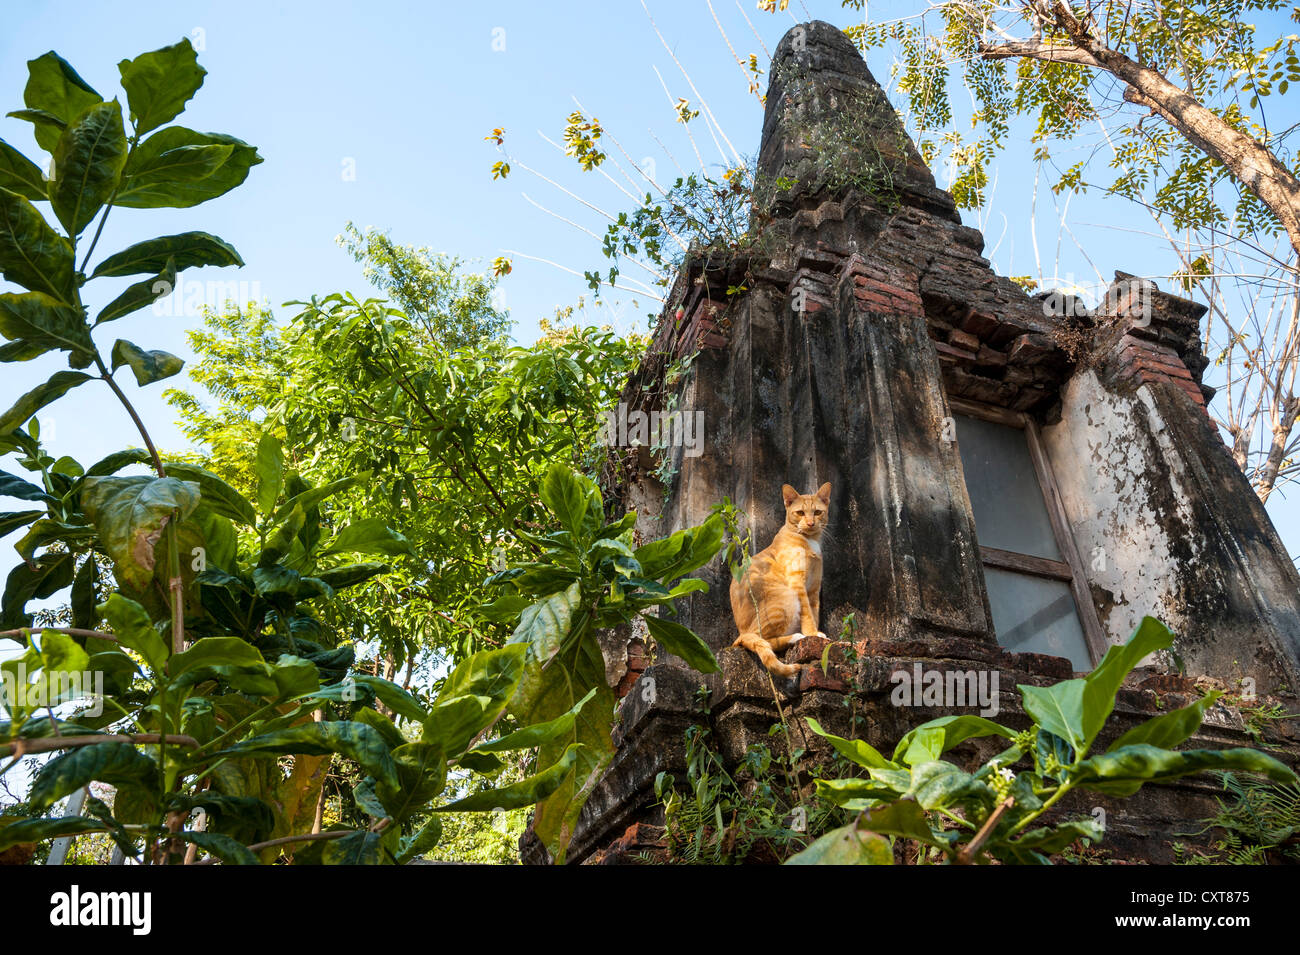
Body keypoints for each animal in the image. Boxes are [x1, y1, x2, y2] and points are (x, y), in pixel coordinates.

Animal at [733, 485, 832, 680]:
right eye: (800, 513)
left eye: (817, 512)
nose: (810, 523)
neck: (810, 540)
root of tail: (741, 632)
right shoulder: (797, 583)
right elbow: (808, 614)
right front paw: (811, 633)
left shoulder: (814, 588)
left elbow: (814, 613)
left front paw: (815, 635)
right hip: (786, 597)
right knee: (761, 640)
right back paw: (796, 637)